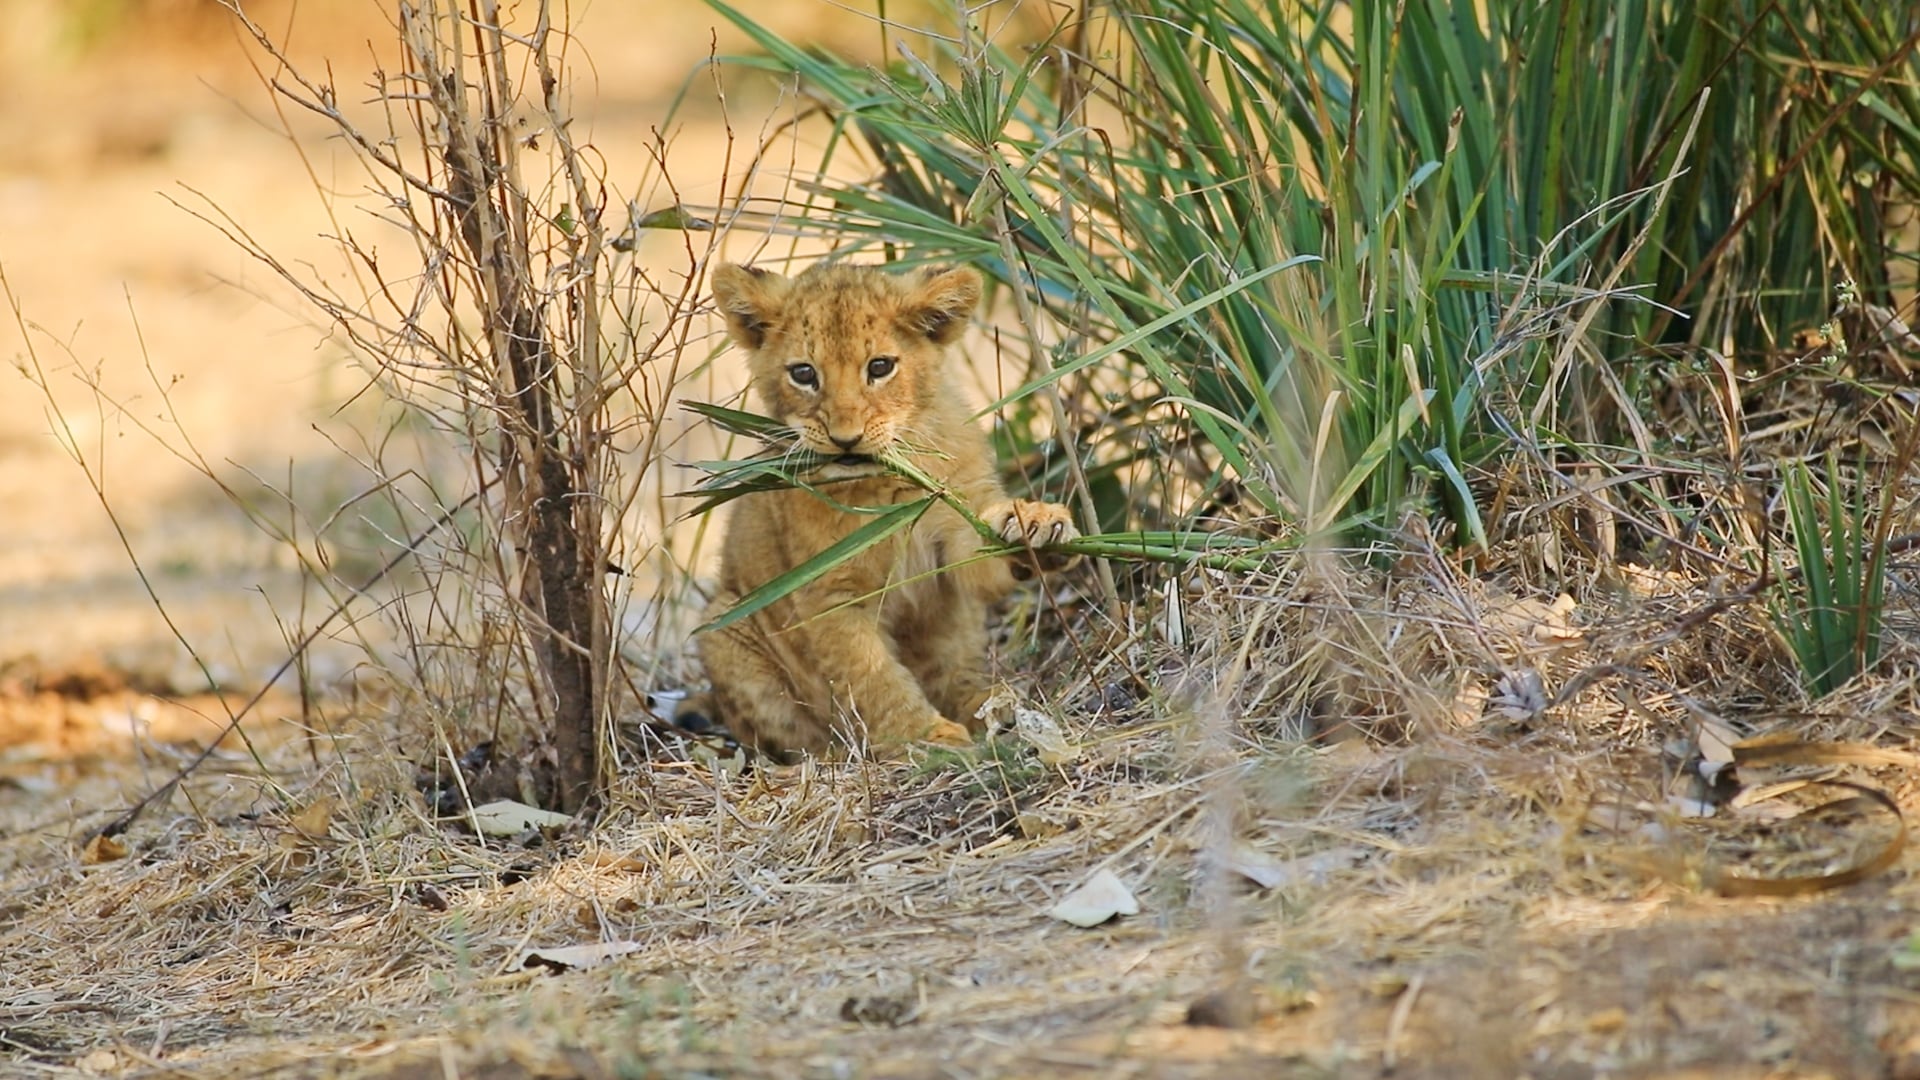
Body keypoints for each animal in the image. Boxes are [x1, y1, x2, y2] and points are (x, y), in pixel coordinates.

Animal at [676, 262, 1079, 759]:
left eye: (880, 367)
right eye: (803, 373)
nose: (845, 438)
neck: (886, 482)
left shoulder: (954, 516)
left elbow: (978, 564)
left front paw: (1036, 527)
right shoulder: (827, 593)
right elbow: (873, 675)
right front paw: (926, 739)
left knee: (954, 674)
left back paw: (993, 704)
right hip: (723, 625)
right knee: (791, 737)